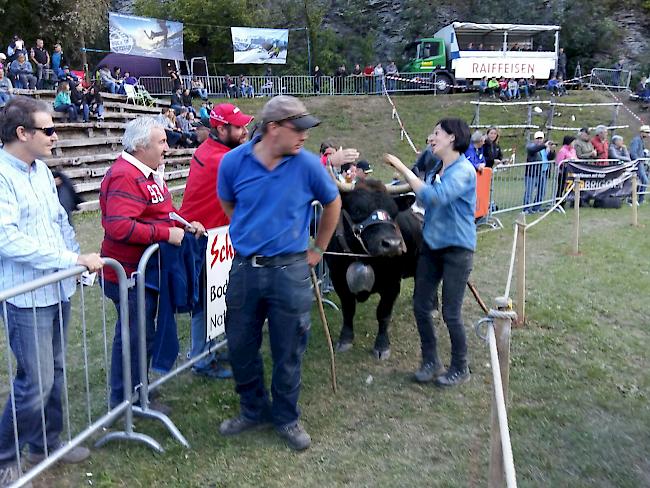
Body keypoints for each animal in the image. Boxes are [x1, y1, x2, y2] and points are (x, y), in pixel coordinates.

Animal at [324, 179, 420, 358]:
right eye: (357, 209)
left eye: (393, 212)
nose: (392, 244)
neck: (364, 258)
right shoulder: (338, 280)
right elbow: (348, 309)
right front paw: (345, 339)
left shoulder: (392, 285)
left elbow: (383, 313)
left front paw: (382, 346)